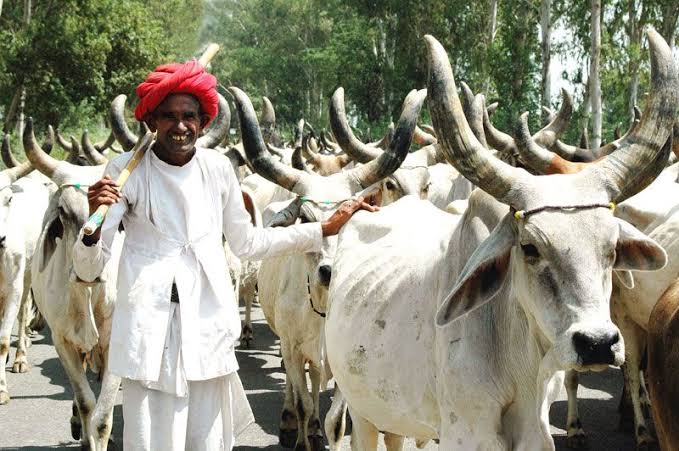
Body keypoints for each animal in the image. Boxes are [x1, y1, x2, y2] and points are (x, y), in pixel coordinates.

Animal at [229, 85, 426, 451]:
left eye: (352, 216)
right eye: (305, 219)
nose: (328, 272)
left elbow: (336, 421)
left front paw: (323, 432)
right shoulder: (291, 350)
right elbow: (304, 403)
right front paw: (301, 435)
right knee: (296, 389)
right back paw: (290, 422)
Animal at [324, 30, 677, 450]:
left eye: (611, 250)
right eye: (529, 247)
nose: (597, 343)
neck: (516, 362)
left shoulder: (536, 433)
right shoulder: (465, 434)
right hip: (362, 411)